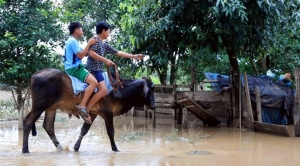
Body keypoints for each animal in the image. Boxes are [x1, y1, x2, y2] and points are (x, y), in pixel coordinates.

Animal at [22, 68, 156, 153]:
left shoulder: (92, 113)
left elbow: (84, 130)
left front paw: (76, 147)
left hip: (51, 108)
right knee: (27, 122)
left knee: (48, 126)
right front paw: (115, 148)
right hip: (39, 106)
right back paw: (25, 149)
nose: (154, 106)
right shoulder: (108, 113)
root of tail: (35, 74)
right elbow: (111, 132)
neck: (119, 88)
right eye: (150, 90)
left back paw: (59, 147)